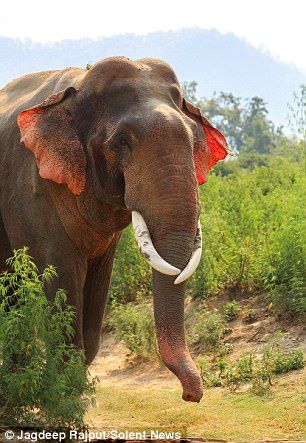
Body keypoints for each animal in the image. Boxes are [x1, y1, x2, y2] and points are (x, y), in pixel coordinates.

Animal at [0, 55, 230, 402]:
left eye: (193, 142)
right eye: (123, 142)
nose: (191, 396)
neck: (77, 90)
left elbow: (97, 285)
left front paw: (73, 390)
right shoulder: (32, 187)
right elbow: (60, 275)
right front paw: (61, 397)